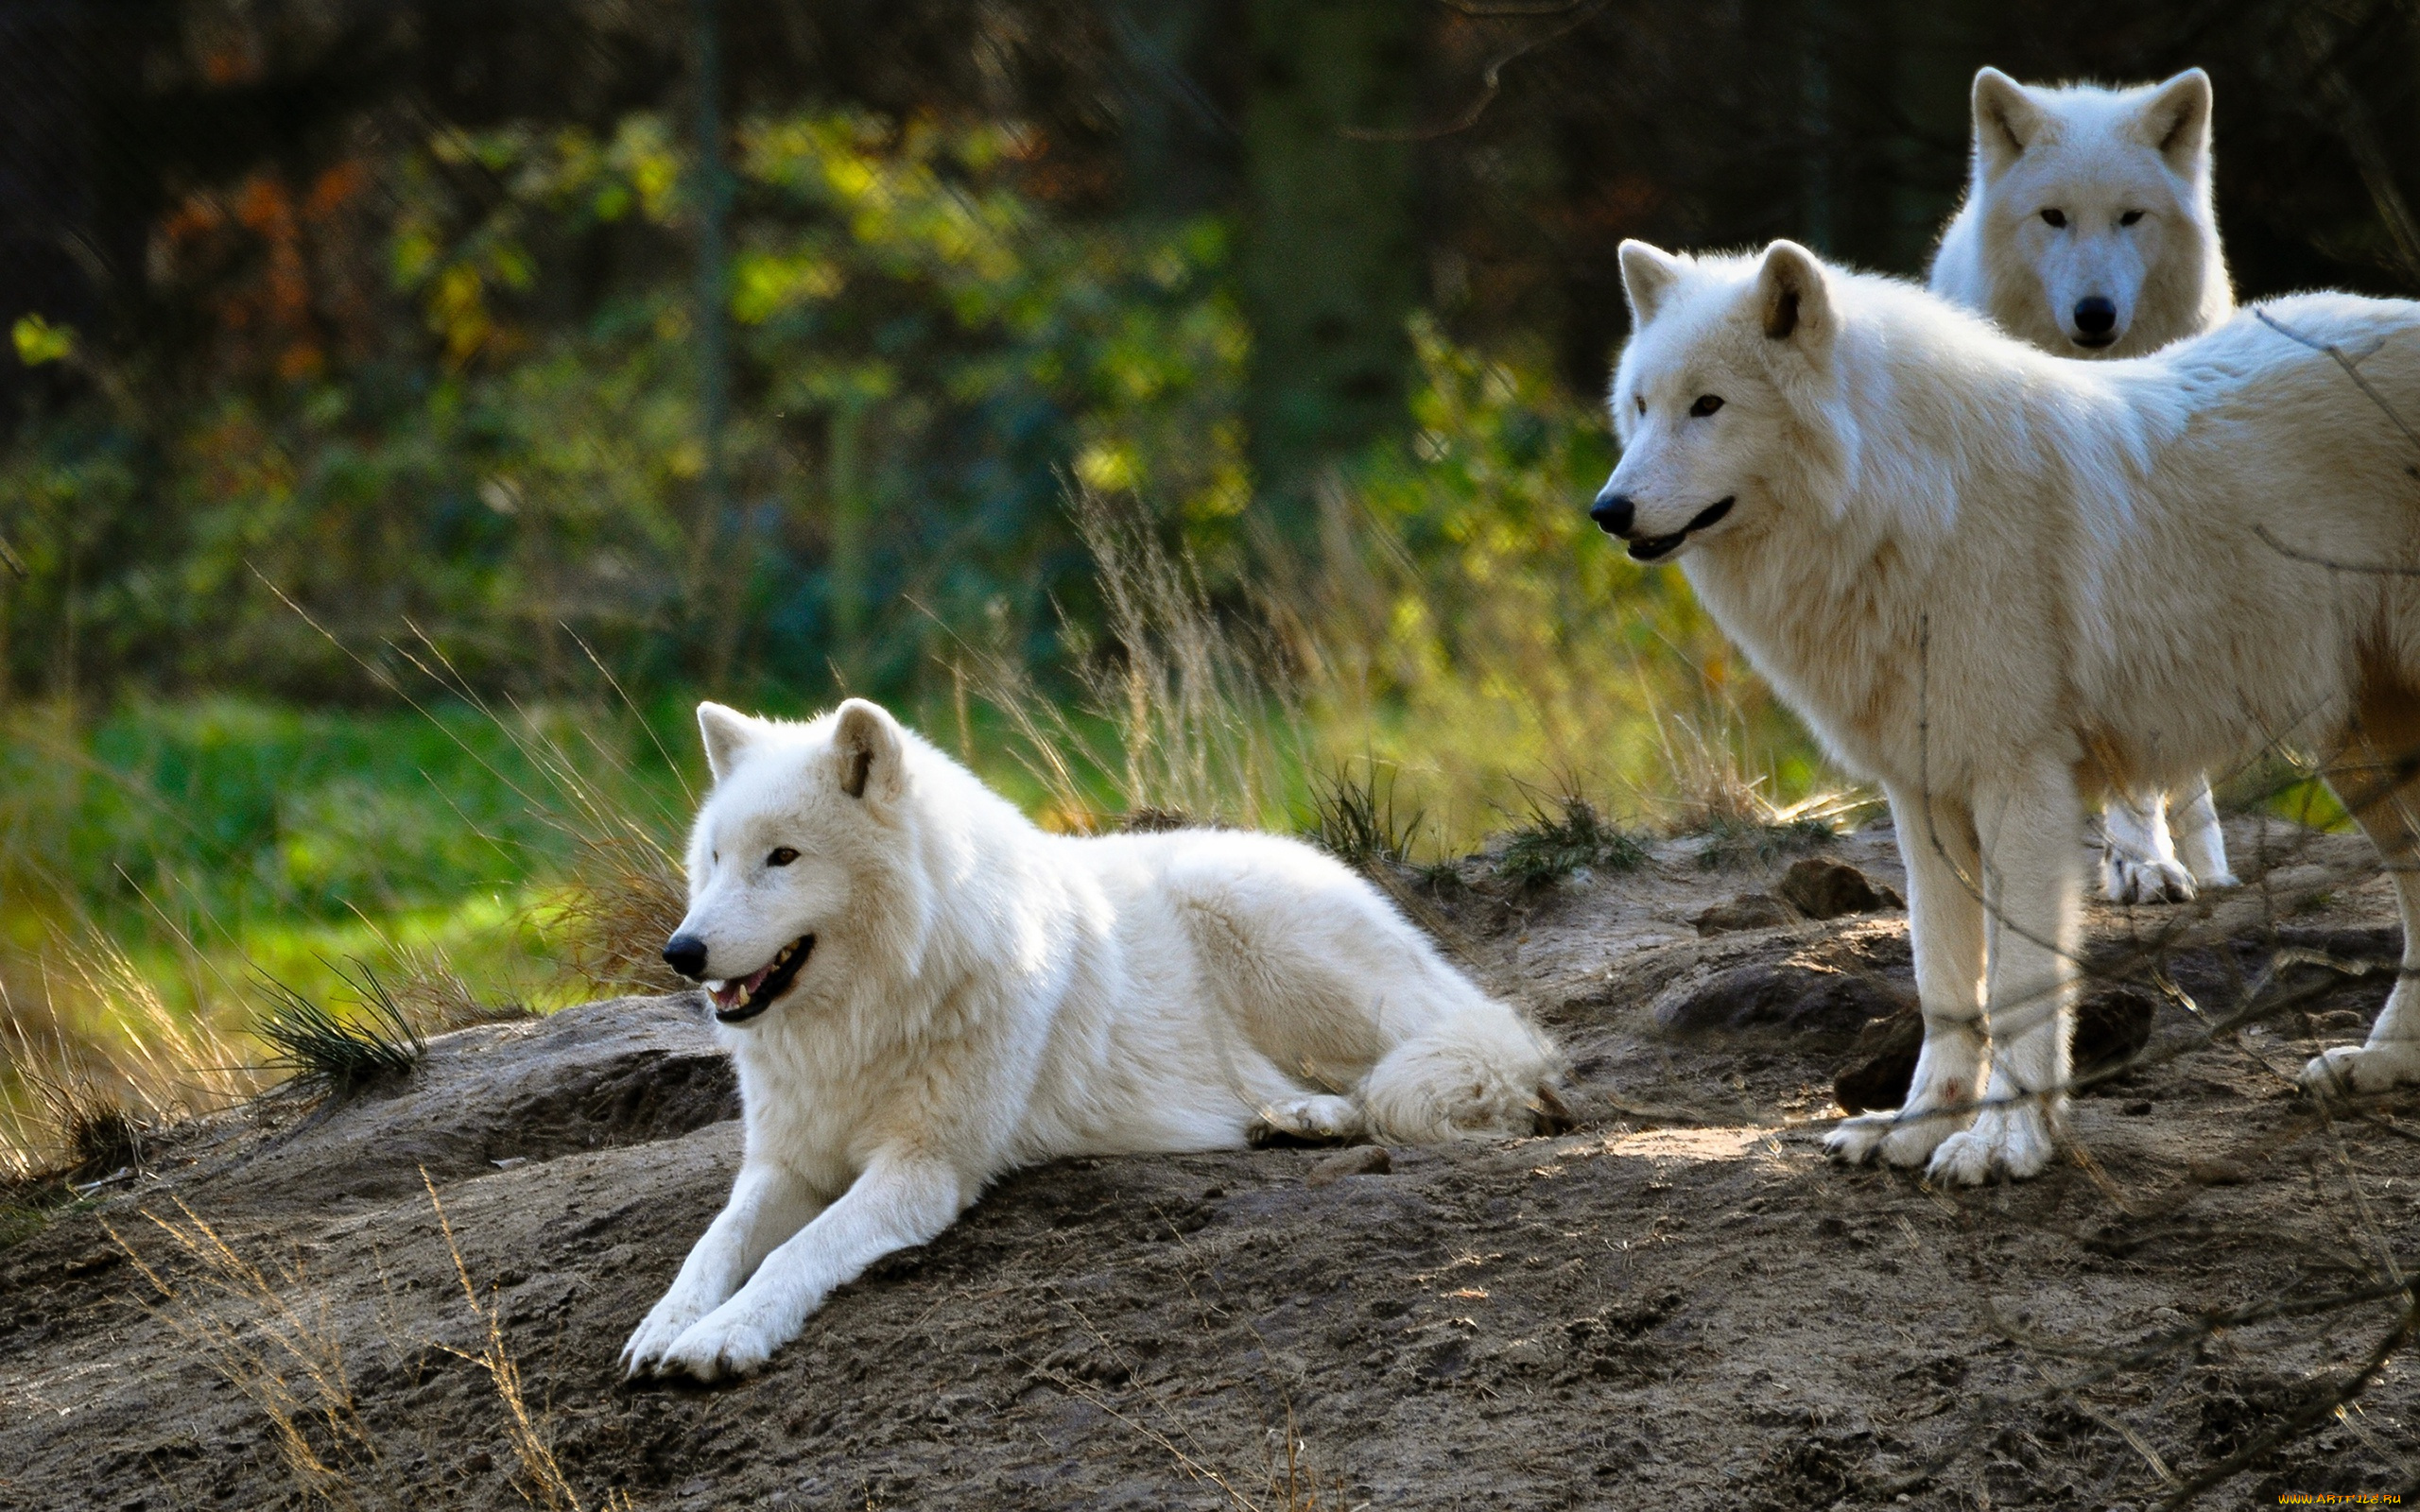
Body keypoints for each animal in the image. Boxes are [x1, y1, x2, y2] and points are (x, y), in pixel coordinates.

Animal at [624, 696, 1558, 1383]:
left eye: (782, 857)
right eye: (715, 859)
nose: (681, 953)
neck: (866, 1019)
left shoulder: (923, 1170)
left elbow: (796, 1252)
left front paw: (722, 1336)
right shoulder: (783, 1163)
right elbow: (714, 1244)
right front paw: (664, 1325)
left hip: (1270, 944)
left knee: (1459, 1070)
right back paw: (1294, 1120)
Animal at [1587, 233, 2420, 1180]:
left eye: (1709, 406)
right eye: (1641, 406)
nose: (1607, 511)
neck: (1910, 503)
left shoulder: (2022, 787)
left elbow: (2020, 986)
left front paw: (2007, 1144)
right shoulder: (1924, 797)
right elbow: (1945, 985)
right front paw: (1917, 1125)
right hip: (2356, 751)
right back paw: (2384, 1063)